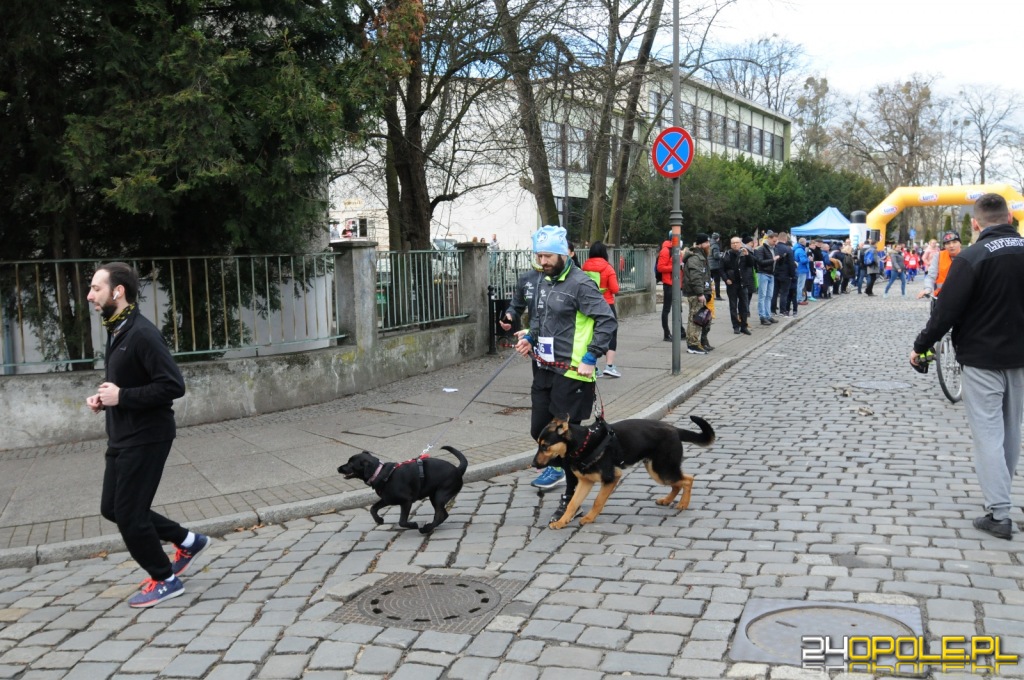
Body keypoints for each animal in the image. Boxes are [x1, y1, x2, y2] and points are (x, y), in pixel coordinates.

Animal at [337, 446, 466, 536]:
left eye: (350, 463)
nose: (338, 468)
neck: (379, 473)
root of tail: (458, 470)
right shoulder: (387, 499)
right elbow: (373, 508)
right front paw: (379, 520)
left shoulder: (406, 502)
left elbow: (402, 521)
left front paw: (413, 525)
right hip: (434, 497)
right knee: (443, 515)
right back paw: (430, 527)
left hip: (439, 496)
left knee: (440, 515)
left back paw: (425, 529)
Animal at [532, 413, 716, 532]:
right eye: (539, 444)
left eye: (545, 446)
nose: (534, 464)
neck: (582, 444)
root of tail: (674, 429)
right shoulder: (586, 482)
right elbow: (572, 504)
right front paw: (562, 522)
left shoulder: (611, 478)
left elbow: (598, 501)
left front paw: (590, 518)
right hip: (657, 470)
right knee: (678, 483)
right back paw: (667, 500)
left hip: (662, 470)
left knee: (688, 479)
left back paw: (683, 504)